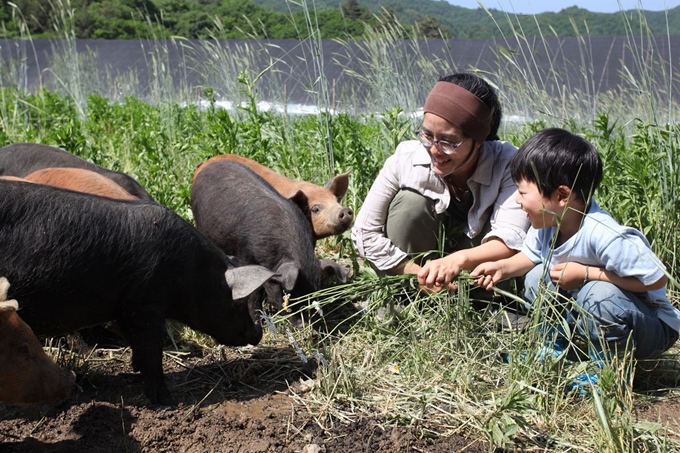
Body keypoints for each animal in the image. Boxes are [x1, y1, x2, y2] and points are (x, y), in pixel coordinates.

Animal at [0, 177, 278, 402]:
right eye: (237, 303)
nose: (258, 334)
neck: (191, 272)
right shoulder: (145, 304)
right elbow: (151, 348)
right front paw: (165, 399)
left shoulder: (125, 306)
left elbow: (137, 345)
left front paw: (135, 371)